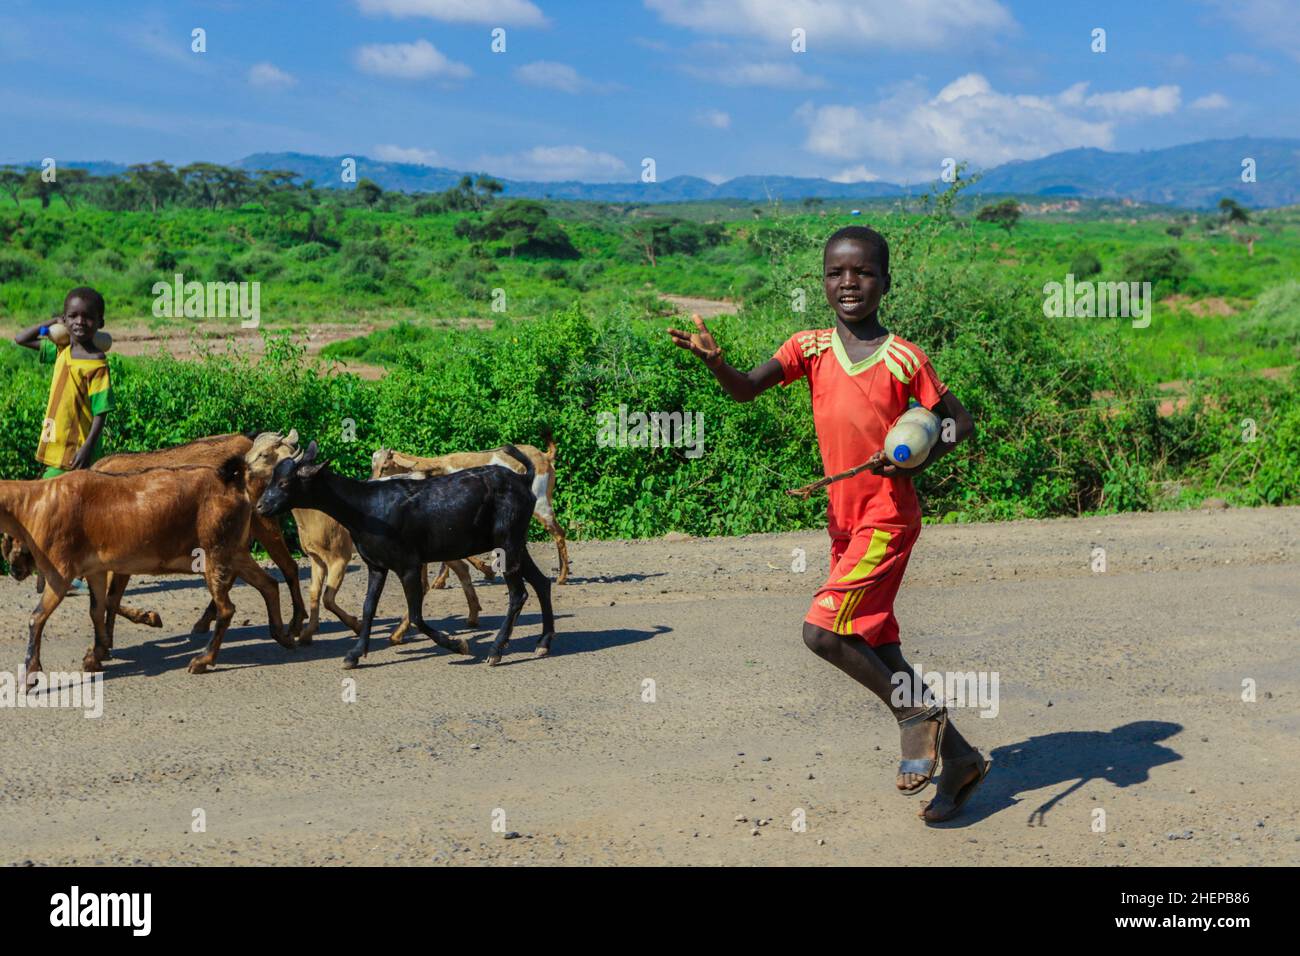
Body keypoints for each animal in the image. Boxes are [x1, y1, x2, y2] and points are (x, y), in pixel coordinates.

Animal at [0, 457, 289, 686]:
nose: (14, 571)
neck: (32, 505)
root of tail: (231, 482)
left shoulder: (60, 572)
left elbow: (36, 617)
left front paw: (29, 677)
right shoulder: (95, 569)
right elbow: (97, 609)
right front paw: (96, 655)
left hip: (214, 550)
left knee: (227, 608)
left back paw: (202, 660)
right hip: (235, 550)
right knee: (269, 584)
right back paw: (285, 635)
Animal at [256, 442, 556, 665]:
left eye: (285, 483)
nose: (260, 506)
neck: (365, 508)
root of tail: (525, 478)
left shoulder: (408, 564)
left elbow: (416, 615)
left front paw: (457, 644)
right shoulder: (376, 565)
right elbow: (368, 607)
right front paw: (355, 654)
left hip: (507, 542)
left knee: (519, 593)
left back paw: (496, 650)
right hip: (516, 543)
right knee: (541, 583)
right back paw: (543, 642)